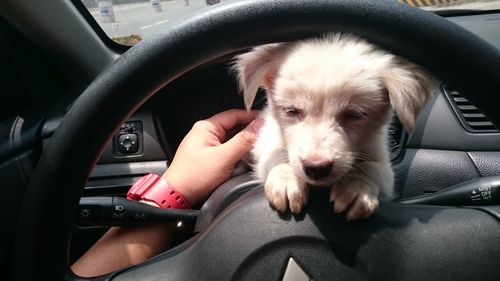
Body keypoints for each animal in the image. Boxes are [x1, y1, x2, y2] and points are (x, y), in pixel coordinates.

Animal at [232, 33, 436, 219]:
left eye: (354, 115)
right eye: (292, 111)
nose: (316, 168)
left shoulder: (384, 165)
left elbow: (371, 167)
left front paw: (357, 187)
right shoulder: (266, 137)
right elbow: (277, 153)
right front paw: (286, 177)